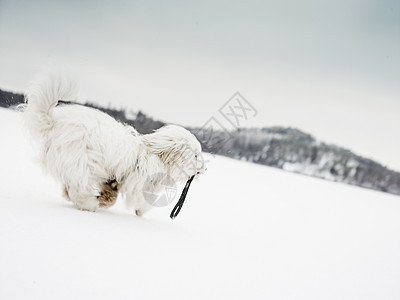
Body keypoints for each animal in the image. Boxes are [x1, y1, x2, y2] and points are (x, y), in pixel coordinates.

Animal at [24, 72, 206, 216]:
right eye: (196, 155)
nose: (204, 169)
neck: (156, 155)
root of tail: (53, 122)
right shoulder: (137, 183)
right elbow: (143, 200)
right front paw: (141, 210)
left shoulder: (115, 179)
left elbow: (112, 194)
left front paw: (105, 199)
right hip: (82, 162)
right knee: (78, 190)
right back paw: (89, 204)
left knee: (71, 188)